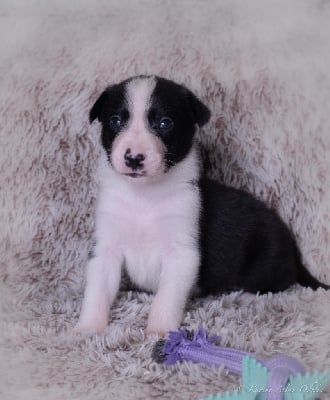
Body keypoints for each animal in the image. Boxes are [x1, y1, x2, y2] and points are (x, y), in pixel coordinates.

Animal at [73, 76, 328, 338]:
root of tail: (292, 245)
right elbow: (97, 291)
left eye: (165, 123)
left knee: (279, 283)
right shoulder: (106, 247)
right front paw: (87, 328)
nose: (134, 158)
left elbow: (167, 298)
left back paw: (245, 296)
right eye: (115, 121)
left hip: (266, 263)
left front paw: (160, 331)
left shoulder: (182, 252)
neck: (144, 195)